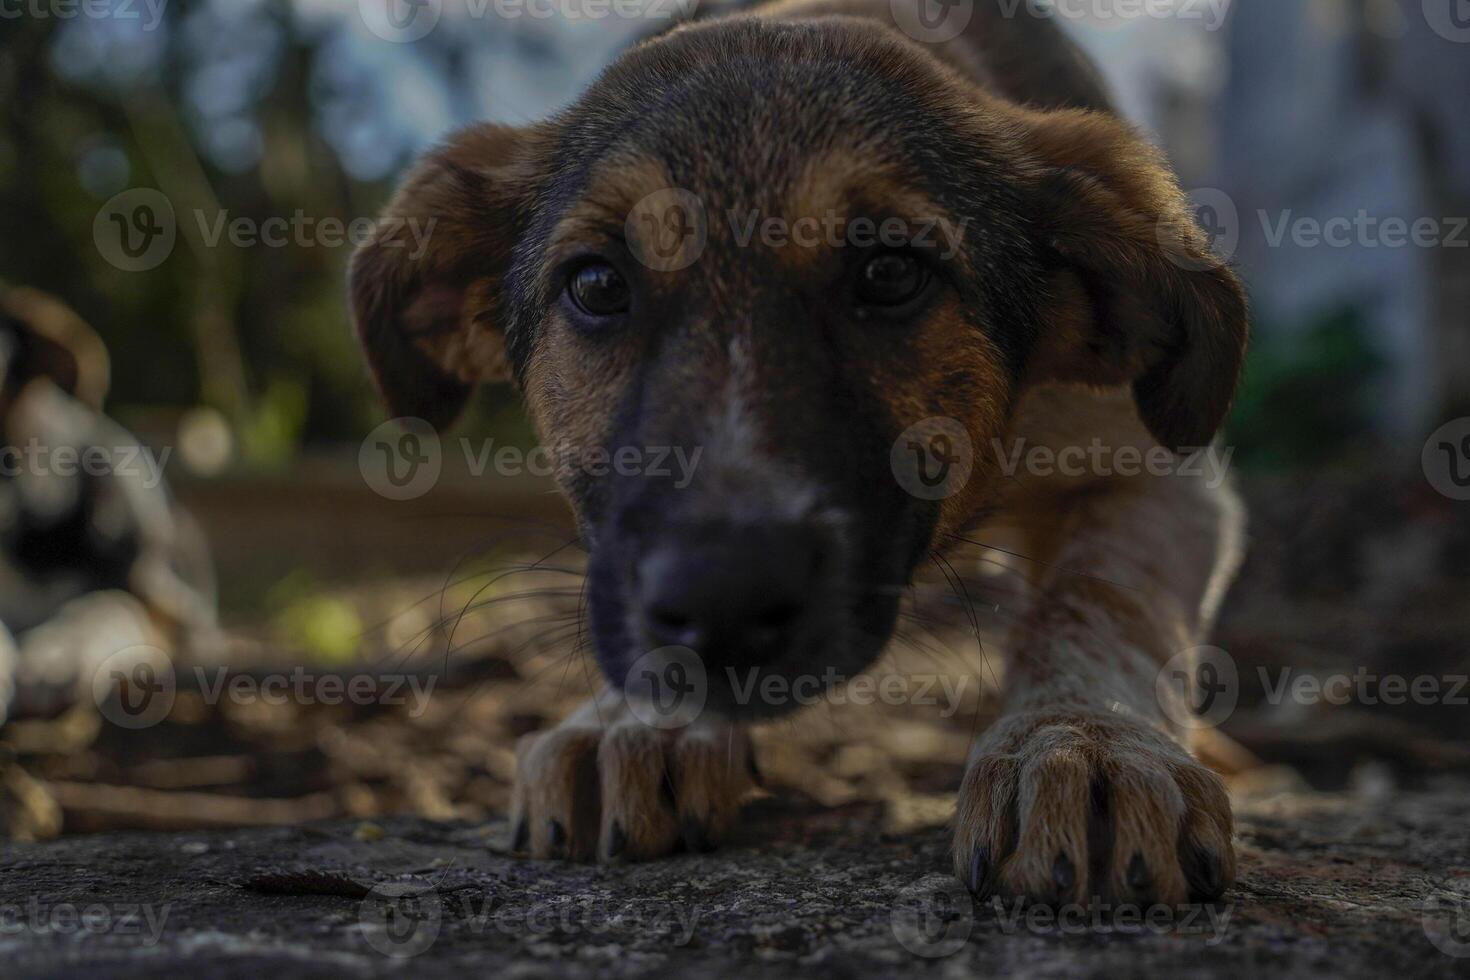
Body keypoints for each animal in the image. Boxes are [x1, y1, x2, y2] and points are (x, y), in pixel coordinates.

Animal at [349, 0, 1246, 910]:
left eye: (891, 274)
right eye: (596, 285)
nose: (722, 597)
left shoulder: (1157, 473)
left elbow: (1099, 601)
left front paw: (1086, 744)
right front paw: (630, 721)